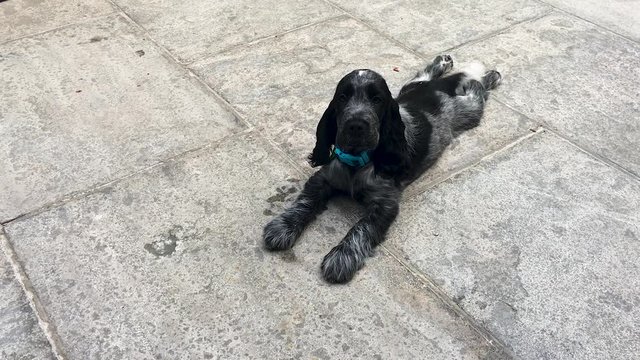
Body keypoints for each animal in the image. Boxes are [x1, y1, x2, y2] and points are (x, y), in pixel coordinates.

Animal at [262, 54, 502, 282]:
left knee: (476, 89)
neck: (357, 160)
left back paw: (490, 76)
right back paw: (444, 61)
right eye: (342, 98)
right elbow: (305, 202)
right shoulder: (323, 178)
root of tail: (437, 89)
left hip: (469, 110)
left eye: (377, 100)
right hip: (410, 87)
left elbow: (362, 228)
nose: (356, 125)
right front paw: (282, 226)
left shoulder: (384, 203)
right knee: (425, 75)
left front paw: (341, 258)